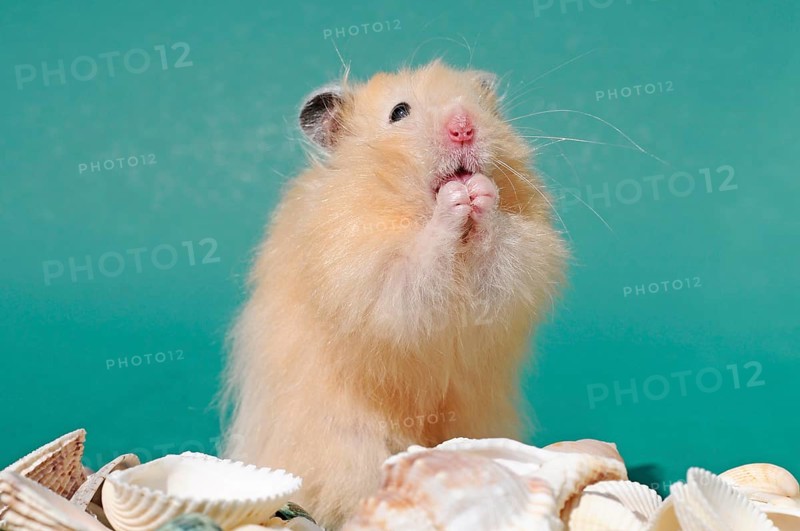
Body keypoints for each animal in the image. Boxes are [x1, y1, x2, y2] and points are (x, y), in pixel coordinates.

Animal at [221, 60, 568, 529]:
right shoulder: (364, 269)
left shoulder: (521, 265)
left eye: (480, 107)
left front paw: (482, 192)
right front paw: (456, 196)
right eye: (399, 113)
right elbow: (414, 267)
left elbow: (499, 252)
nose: (464, 127)